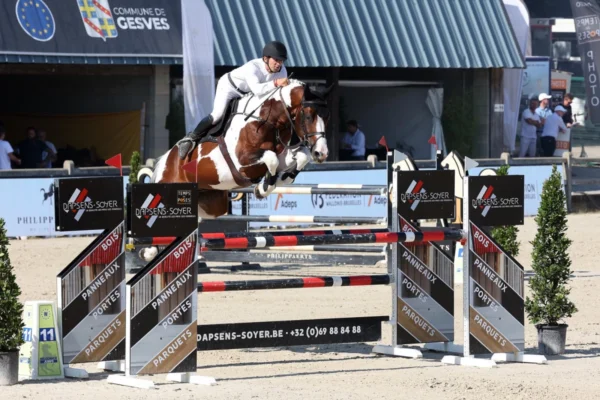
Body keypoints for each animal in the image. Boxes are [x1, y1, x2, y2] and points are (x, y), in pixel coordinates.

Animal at [148, 79, 333, 220]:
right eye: (308, 116)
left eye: (327, 117)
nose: (321, 153)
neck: (267, 121)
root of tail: (165, 160)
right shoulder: (241, 160)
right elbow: (271, 158)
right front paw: (264, 186)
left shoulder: (282, 154)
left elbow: (301, 157)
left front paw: (275, 182)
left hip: (211, 205)